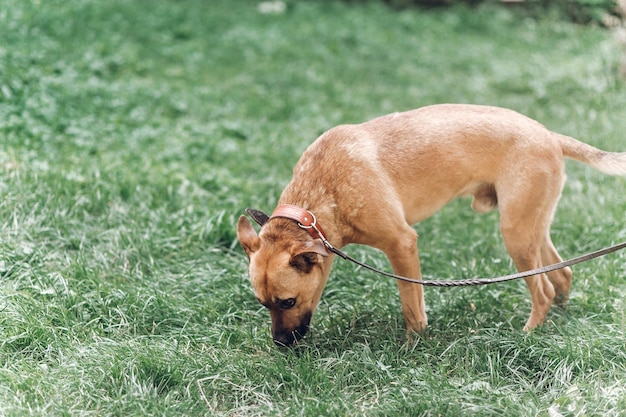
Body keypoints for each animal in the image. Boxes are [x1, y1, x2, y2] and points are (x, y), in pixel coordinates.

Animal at [235, 104, 624, 344]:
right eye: (263, 304)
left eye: (287, 302)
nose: (281, 345)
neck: (318, 199)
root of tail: (550, 135)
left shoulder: (402, 244)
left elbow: (412, 307)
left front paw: (413, 344)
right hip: (531, 228)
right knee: (562, 274)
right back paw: (556, 319)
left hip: (515, 233)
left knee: (542, 290)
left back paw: (528, 333)